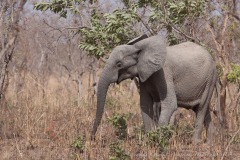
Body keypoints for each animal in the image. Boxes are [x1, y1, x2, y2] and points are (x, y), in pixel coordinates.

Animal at [91, 34, 219, 142]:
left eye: (119, 64)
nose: (92, 138)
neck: (138, 48)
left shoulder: (164, 74)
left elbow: (170, 104)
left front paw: (158, 141)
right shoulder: (144, 76)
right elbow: (145, 105)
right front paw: (149, 141)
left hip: (210, 79)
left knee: (201, 108)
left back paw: (196, 143)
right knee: (202, 109)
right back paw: (209, 143)